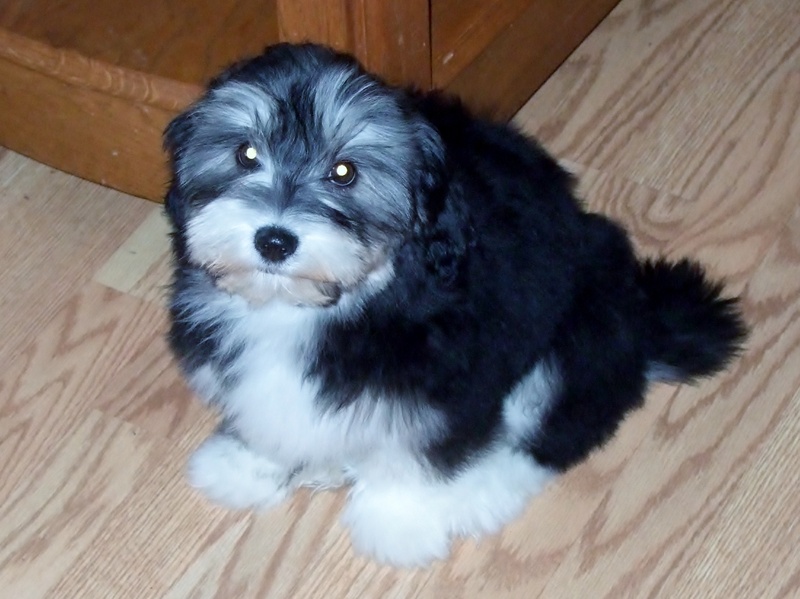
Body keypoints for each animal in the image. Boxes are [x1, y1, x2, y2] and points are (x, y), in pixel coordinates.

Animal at [164, 42, 752, 568]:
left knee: (545, 436)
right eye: (245, 154)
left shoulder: (446, 382)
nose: (274, 240)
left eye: (345, 172)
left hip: (576, 336)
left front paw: (398, 523)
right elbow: (264, 412)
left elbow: (414, 453)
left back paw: (476, 496)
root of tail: (642, 323)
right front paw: (247, 467)